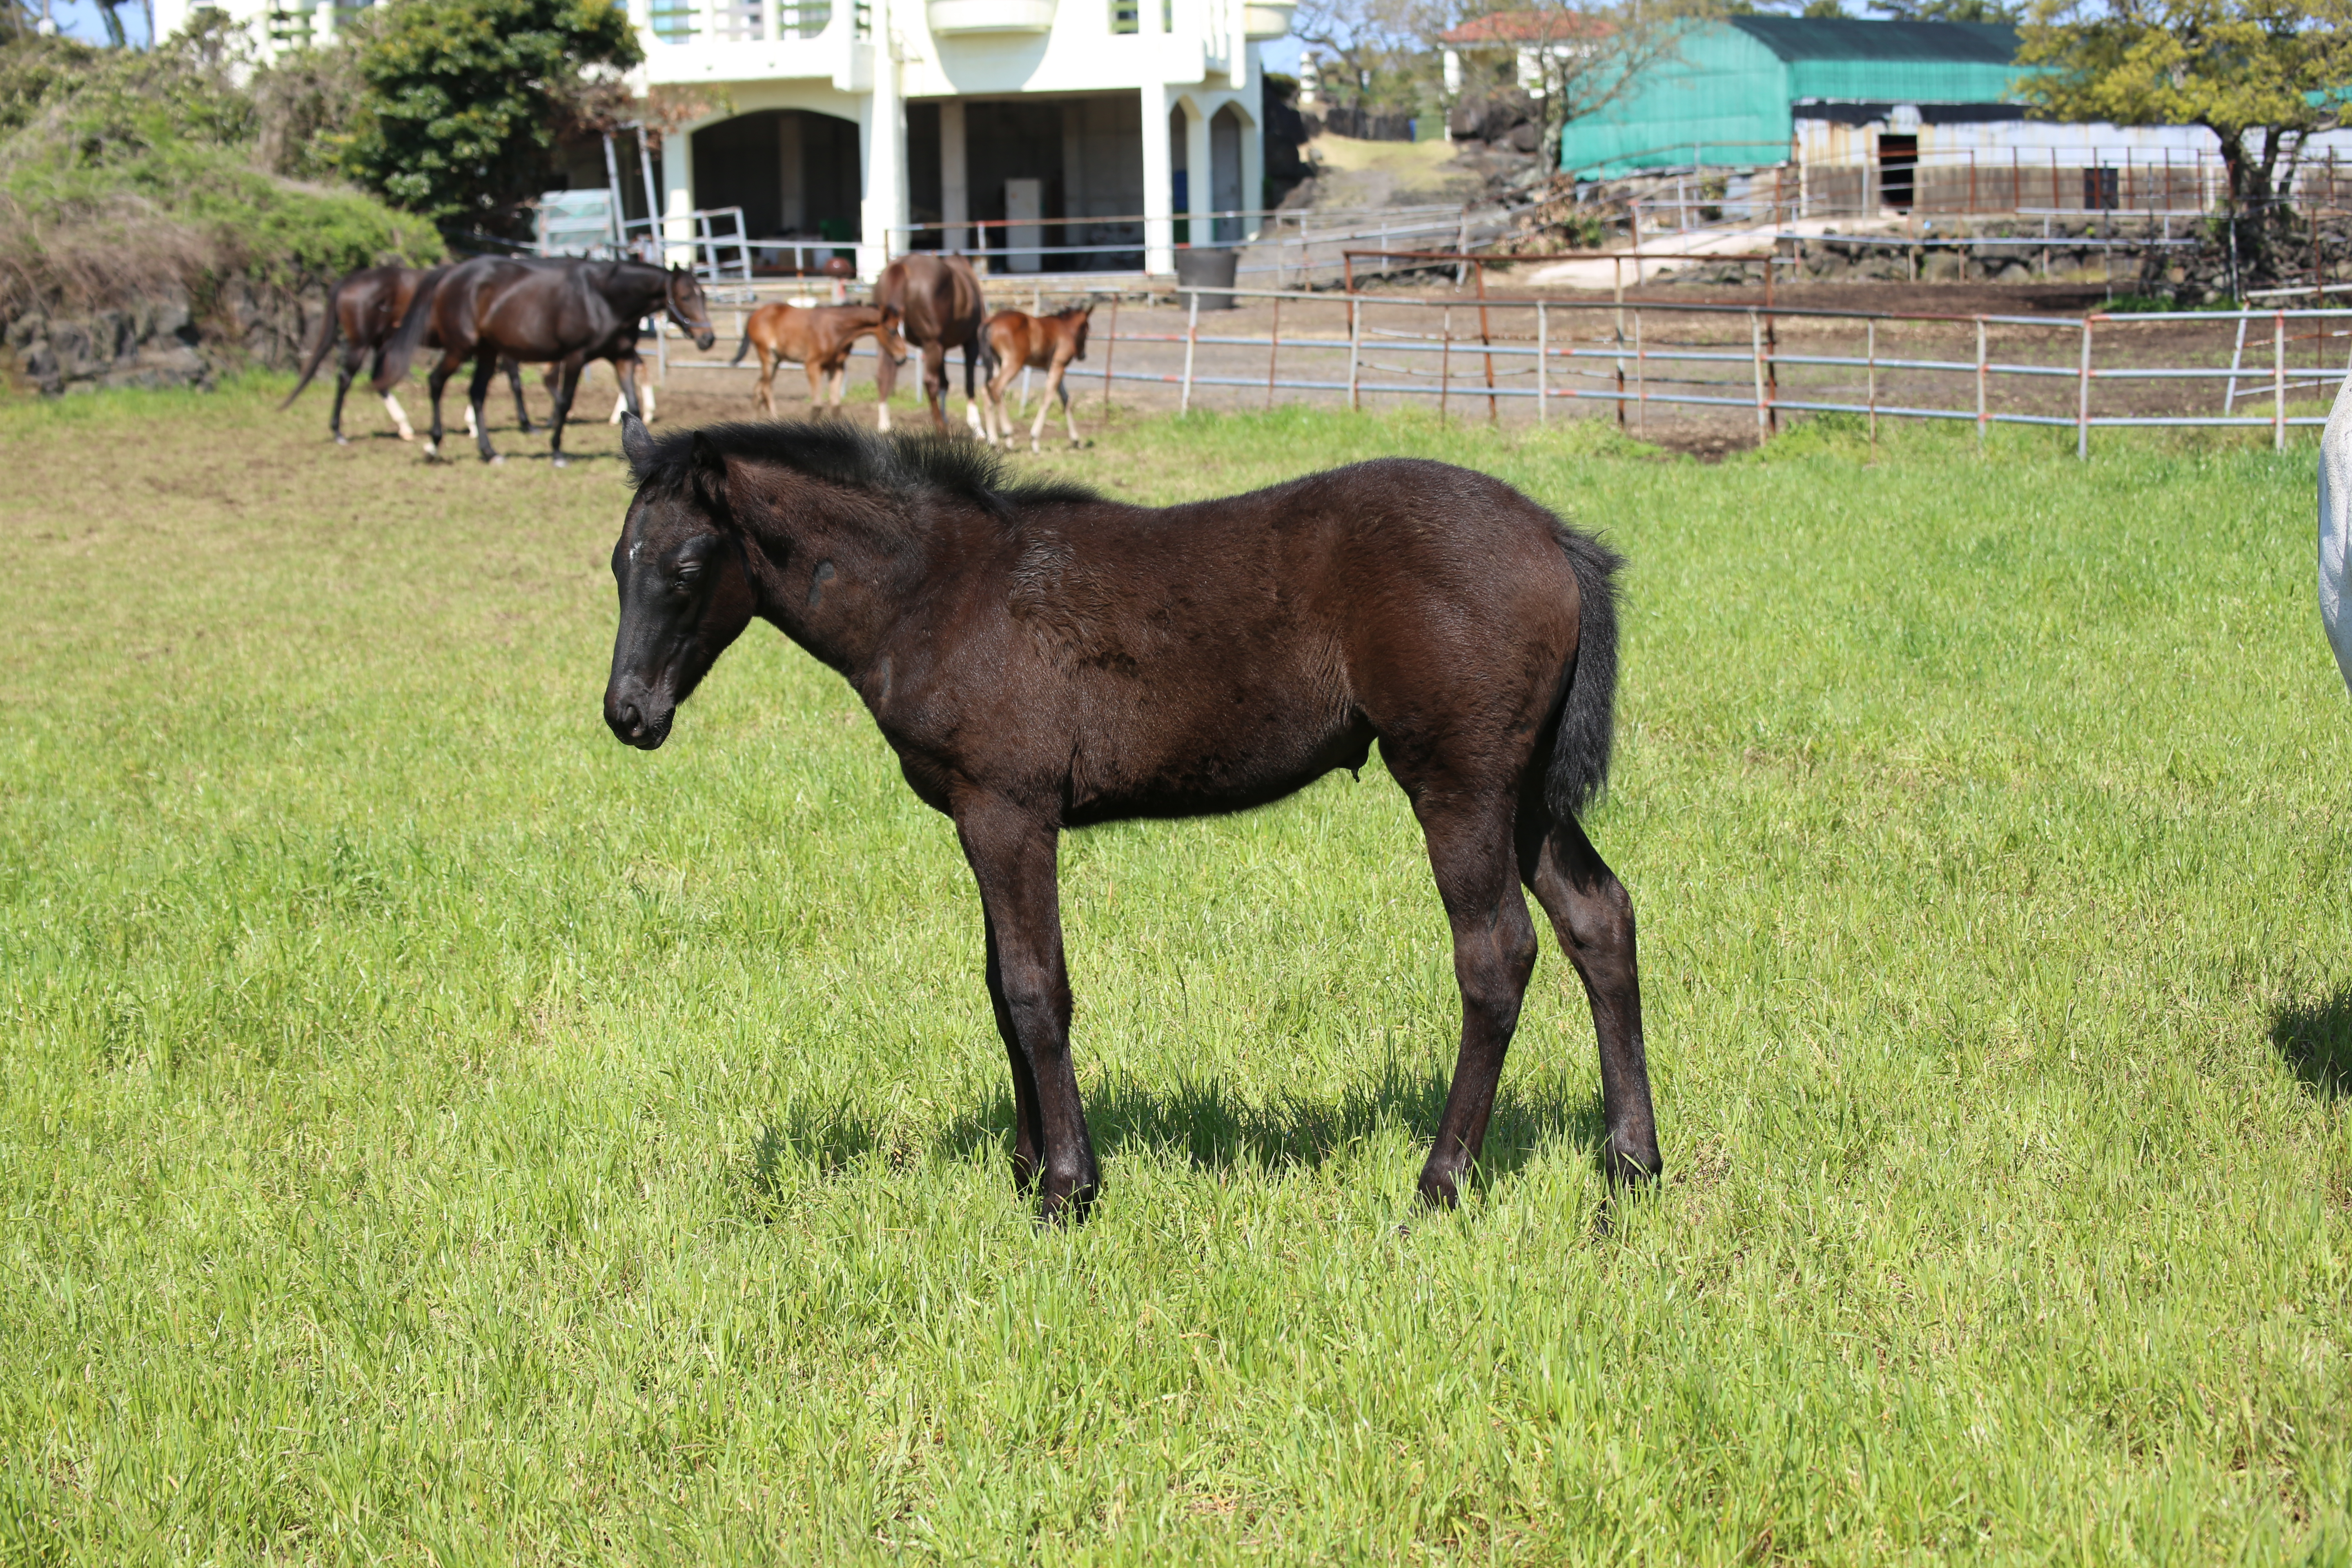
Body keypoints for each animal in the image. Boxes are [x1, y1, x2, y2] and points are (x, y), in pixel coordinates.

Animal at [280, 267, 534, 444]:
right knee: (346, 379)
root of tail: (349, 281)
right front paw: (526, 424)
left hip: (383, 343)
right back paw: (339, 433)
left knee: (378, 380)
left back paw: (405, 427)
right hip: (361, 344)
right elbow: (514, 381)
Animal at [367, 257, 710, 463]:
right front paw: (556, 450)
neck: (604, 300)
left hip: (487, 352)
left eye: (704, 295)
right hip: (460, 348)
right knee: (437, 382)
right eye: (685, 297)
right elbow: (565, 402)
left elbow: (634, 404)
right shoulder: (576, 356)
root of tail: (449, 273)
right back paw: (432, 445)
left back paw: (489, 452)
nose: (708, 339)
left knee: (477, 393)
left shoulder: (622, 357)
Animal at [724, 303, 908, 421]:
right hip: (767, 356)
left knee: (759, 388)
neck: (836, 330)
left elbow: (835, 406)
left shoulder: (837, 367)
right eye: (892, 331)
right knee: (767, 389)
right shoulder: (812, 366)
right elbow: (817, 406)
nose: (903, 358)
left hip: (777, 360)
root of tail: (755, 313)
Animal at [870, 252, 988, 439]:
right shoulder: (971, 343)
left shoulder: (943, 346)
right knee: (930, 382)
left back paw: (884, 426)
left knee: (883, 376)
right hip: (932, 344)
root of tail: (902, 266)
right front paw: (977, 429)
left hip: (887, 343)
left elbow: (945, 383)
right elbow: (969, 384)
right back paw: (941, 430)